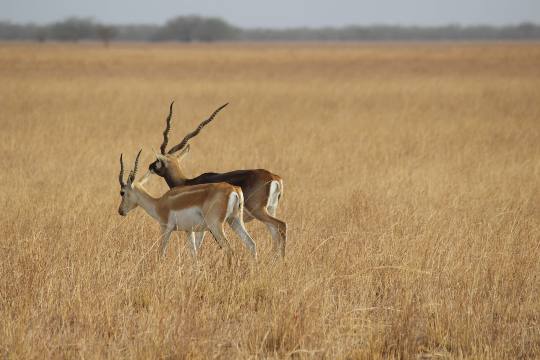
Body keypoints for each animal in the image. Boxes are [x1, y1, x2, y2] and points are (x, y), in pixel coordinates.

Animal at [118, 150, 258, 262]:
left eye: (122, 192)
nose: (120, 211)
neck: (159, 203)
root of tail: (233, 189)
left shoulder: (166, 227)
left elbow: (161, 252)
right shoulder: (189, 230)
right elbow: (194, 254)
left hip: (216, 225)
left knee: (229, 249)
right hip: (235, 220)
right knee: (251, 244)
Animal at [148, 102, 286, 258]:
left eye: (158, 160)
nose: (150, 166)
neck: (187, 182)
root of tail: (274, 177)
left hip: (258, 211)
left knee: (280, 226)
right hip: (269, 209)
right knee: (274, 233)